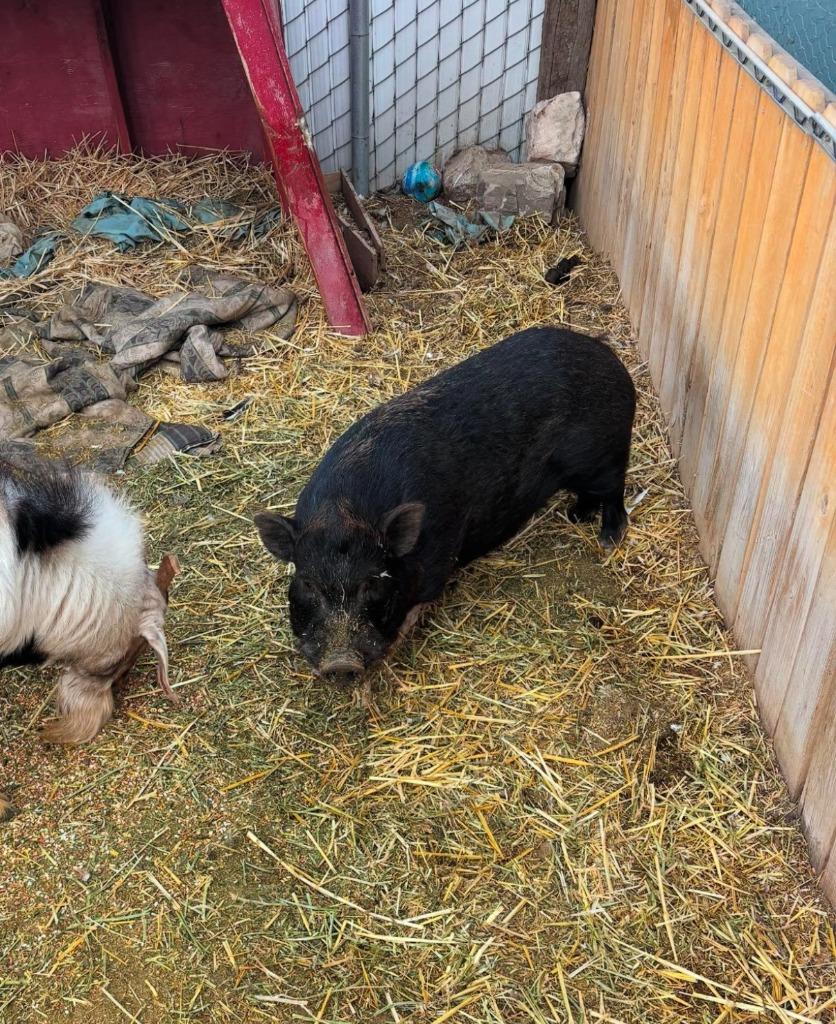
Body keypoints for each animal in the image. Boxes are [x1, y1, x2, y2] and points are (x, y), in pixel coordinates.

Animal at [255, 326, 635, 682]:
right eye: (307, 582)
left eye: (372, 581)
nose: (340, 662)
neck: (345, 510)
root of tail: (609, 358)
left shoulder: (440, 555)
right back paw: (576, 516)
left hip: (603, 455)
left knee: (616, 489)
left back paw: (608, 539)